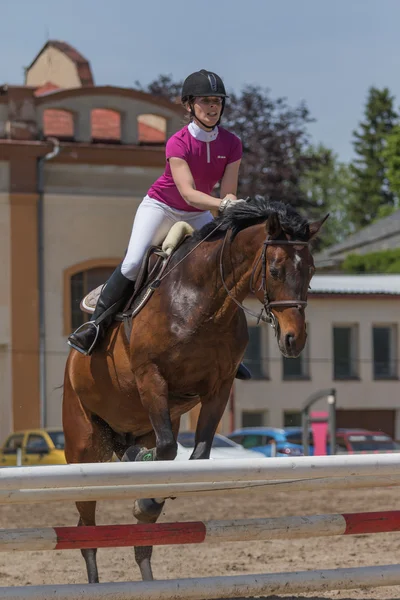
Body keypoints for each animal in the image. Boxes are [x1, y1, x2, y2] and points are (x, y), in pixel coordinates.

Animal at [61, 197, 324, 580]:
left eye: (312, 271)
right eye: (275, 270)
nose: (295, 340)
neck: (204, 302)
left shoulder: (219, 387)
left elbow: (195, 457)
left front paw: (147, 501)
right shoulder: (151, 377)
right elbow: (170, 448)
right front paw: (145, 498)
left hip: (137, 427)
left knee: (138, 531)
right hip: (83, 445)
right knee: (86, 529)